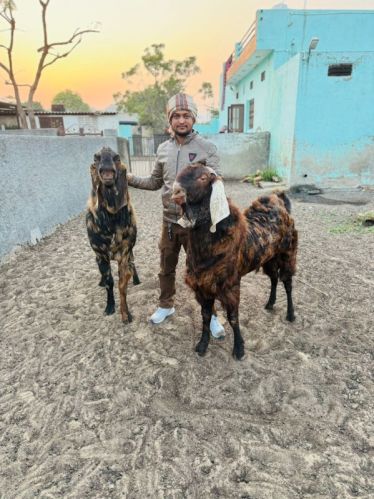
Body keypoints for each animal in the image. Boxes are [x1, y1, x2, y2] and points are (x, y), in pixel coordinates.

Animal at [85, 146, 140, 322]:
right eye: (96, 157)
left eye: (116, 157)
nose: (106, 168)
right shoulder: (101, 252)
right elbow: (110, 282)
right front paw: (109, 307)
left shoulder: (125, 251)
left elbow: (122, 283)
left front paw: (126, 314)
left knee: (132, 263)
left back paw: (136, 279)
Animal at [172, 164, 298, 360]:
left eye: (202, 178)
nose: (175, 191)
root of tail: (279, 202)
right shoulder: (203, 285)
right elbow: (205, 316)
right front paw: (202, 345)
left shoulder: (229, 285)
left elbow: (233, 318)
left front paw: (239, 349)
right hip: (269, 258)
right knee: (273, 279)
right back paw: (270, 304)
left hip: (287, 254)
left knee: (288, 283)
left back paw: (290, 315)